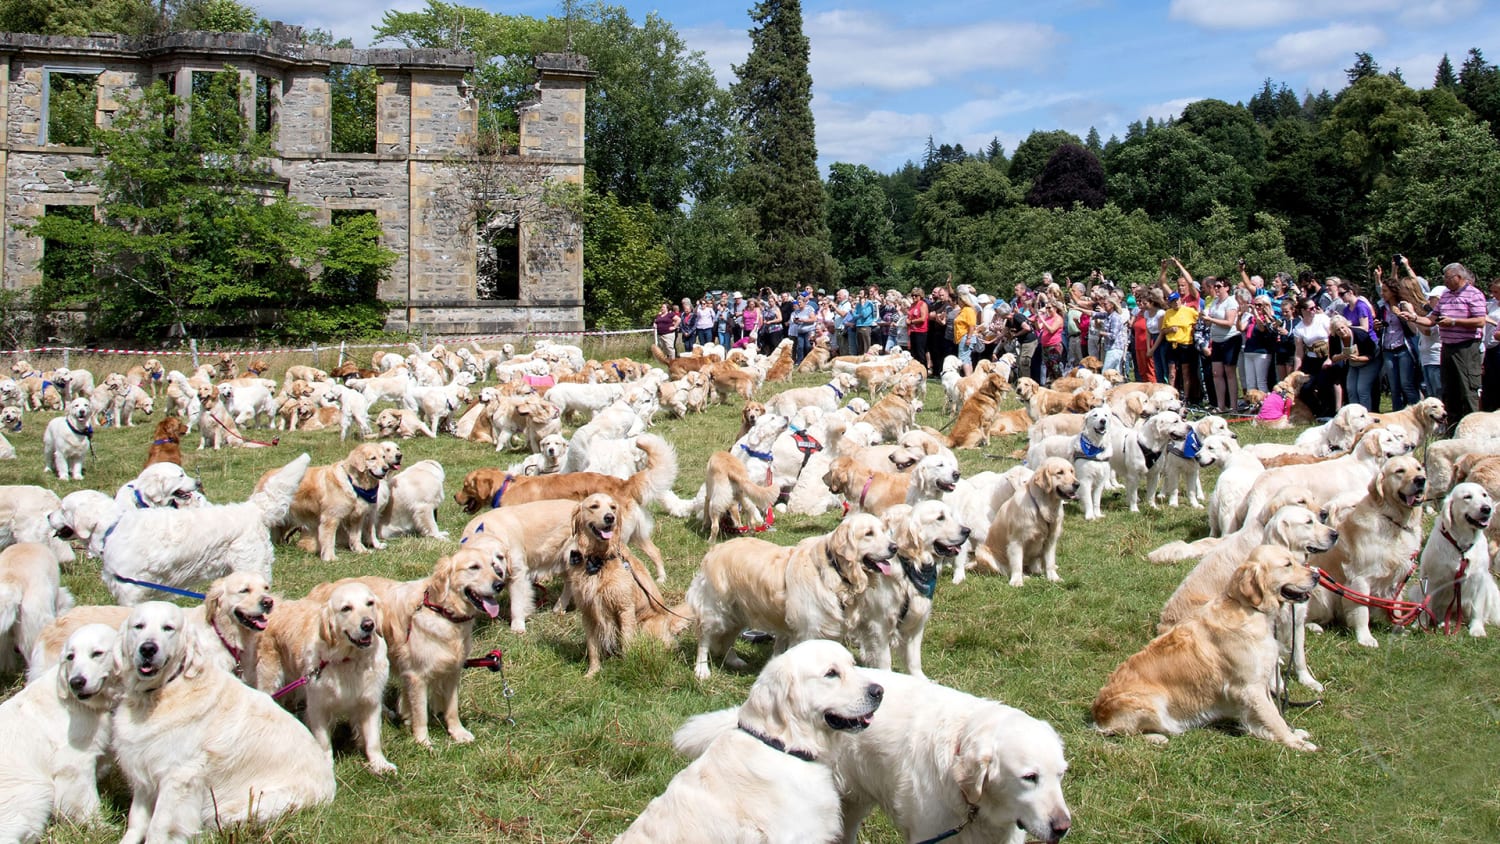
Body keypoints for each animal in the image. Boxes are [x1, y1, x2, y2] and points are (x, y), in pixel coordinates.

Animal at [258, 584, 399, 773]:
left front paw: (380, 764)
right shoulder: (318, 706)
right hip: (270, 679)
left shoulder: (370, 701)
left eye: (370, 603)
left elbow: (373, 739)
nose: (369, 624)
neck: (348, 659)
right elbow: (324, 743)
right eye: (346, 608)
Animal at [561, 494, 687, 680]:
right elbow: (592, 648)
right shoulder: (588, 612)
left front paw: (626, 668)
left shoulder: (625, 609)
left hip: (645, 626)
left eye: (613, 507)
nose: (610, 518)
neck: (599, 560)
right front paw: (592, 672)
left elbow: (627, 643)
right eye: (594, 506)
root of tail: (669, 620)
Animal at [687, 509, 888, 680]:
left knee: (728, 639)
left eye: (884, 531)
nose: (893, 547)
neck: (835, 570)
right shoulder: (808, 630)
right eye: (868, 533)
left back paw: (733, 660)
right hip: (716, 610)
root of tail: (715, 550)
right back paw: (702, 670)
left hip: (739, 611)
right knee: (704, 638)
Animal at [1092, 548, 1326, 752]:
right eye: (1287, 564)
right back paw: (1157, 737)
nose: (1317, 576)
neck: (1250, 609)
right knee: (1124, 733)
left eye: (1296, 560)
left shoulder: (1260, 681)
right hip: (1152, 704)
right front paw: (1294, 742)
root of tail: (1097, 714)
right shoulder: (1248, 686)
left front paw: (1288, 733)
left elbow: (1271, 712)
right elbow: (1274, 717)